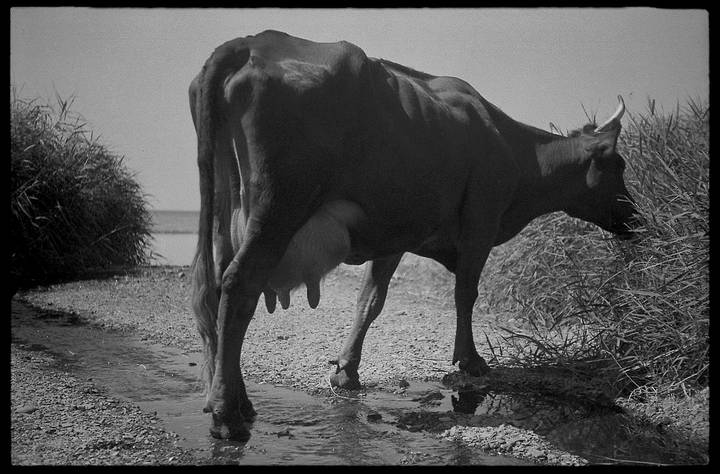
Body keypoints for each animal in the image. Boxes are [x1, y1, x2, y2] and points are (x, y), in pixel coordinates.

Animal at [189, 30, 638, 440]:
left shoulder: (395, 234)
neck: (516, 152)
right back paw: (228, 412)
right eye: (620, 164)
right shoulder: (481, 220)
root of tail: (253, 41)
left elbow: (370, 300)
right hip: (279, 208)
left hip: (229, 210)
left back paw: (232, 400)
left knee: (213, 288)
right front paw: (470, 360)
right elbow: (466, 293)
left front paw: (346, 371)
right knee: (239, 285)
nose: (636, 219)